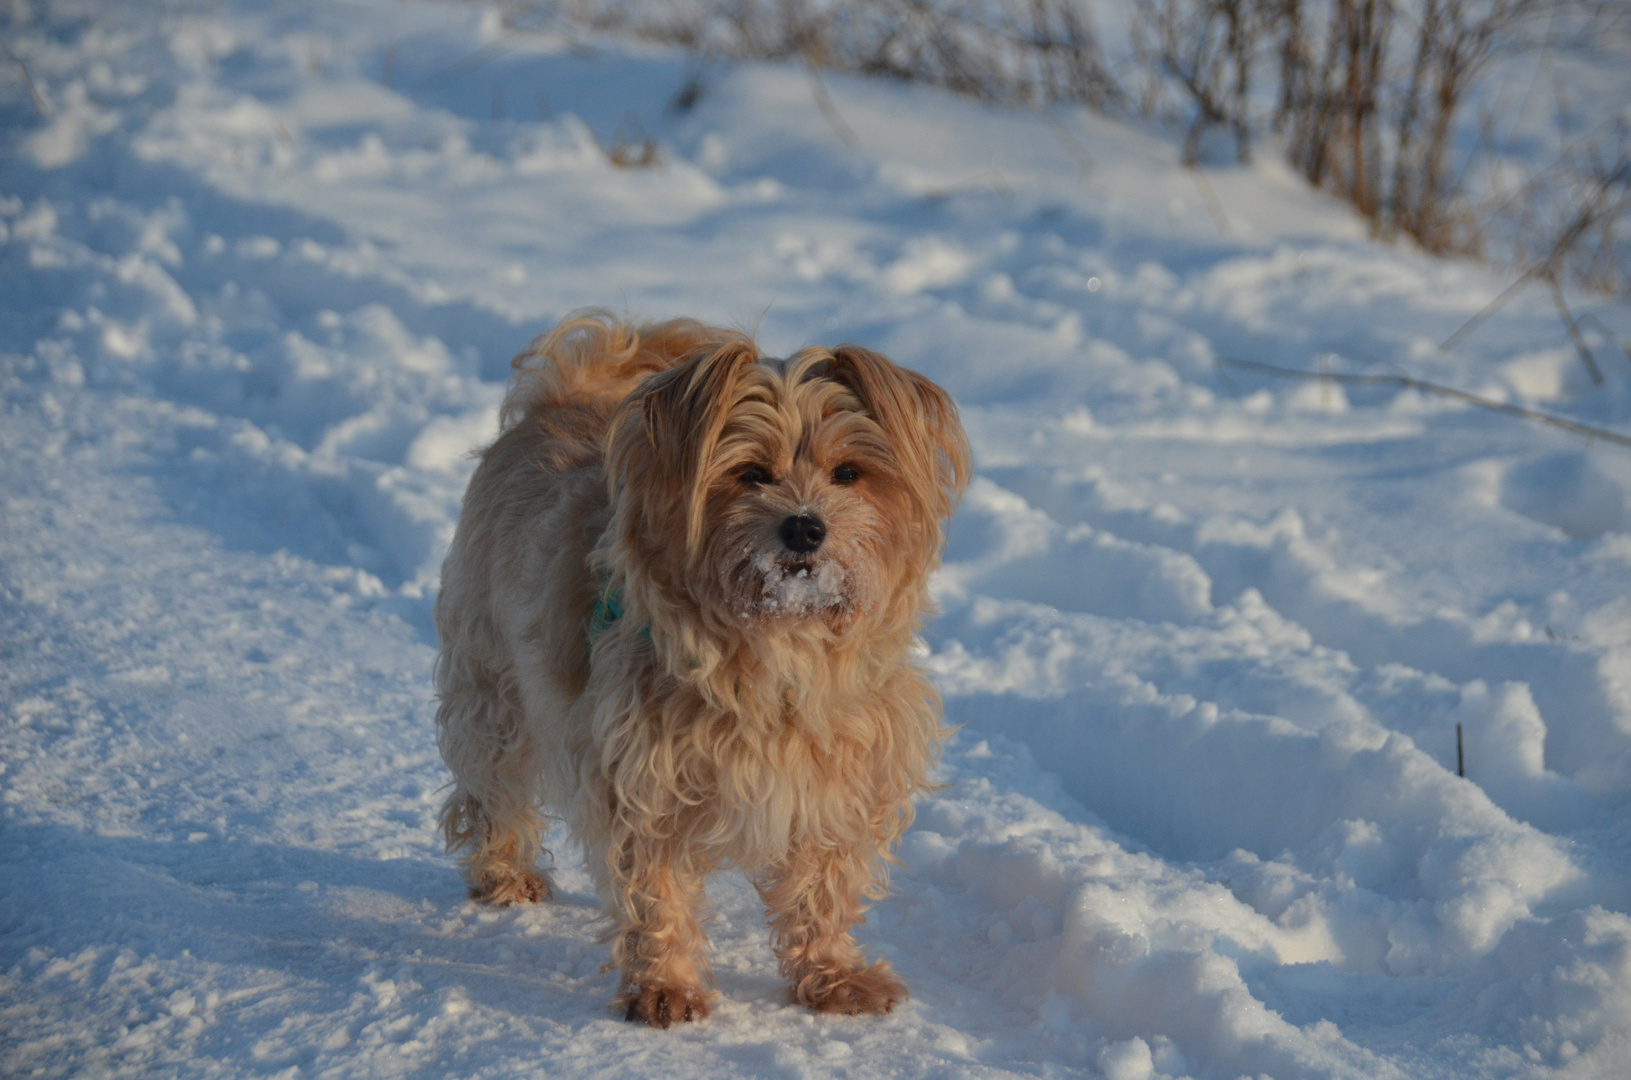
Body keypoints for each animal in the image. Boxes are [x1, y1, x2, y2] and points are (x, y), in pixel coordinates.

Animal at [433, 308, 965, 1031]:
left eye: (849, 473)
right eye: (751, 473)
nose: (805, 528)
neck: (780, 650)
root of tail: (562, 396)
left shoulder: (841, 775)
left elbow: (822, 886)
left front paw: (831, 978)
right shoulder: (641, 775)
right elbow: (654, 891)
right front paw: (666, 986)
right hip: (491, 678)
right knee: (493, 782)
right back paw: (503, 872)